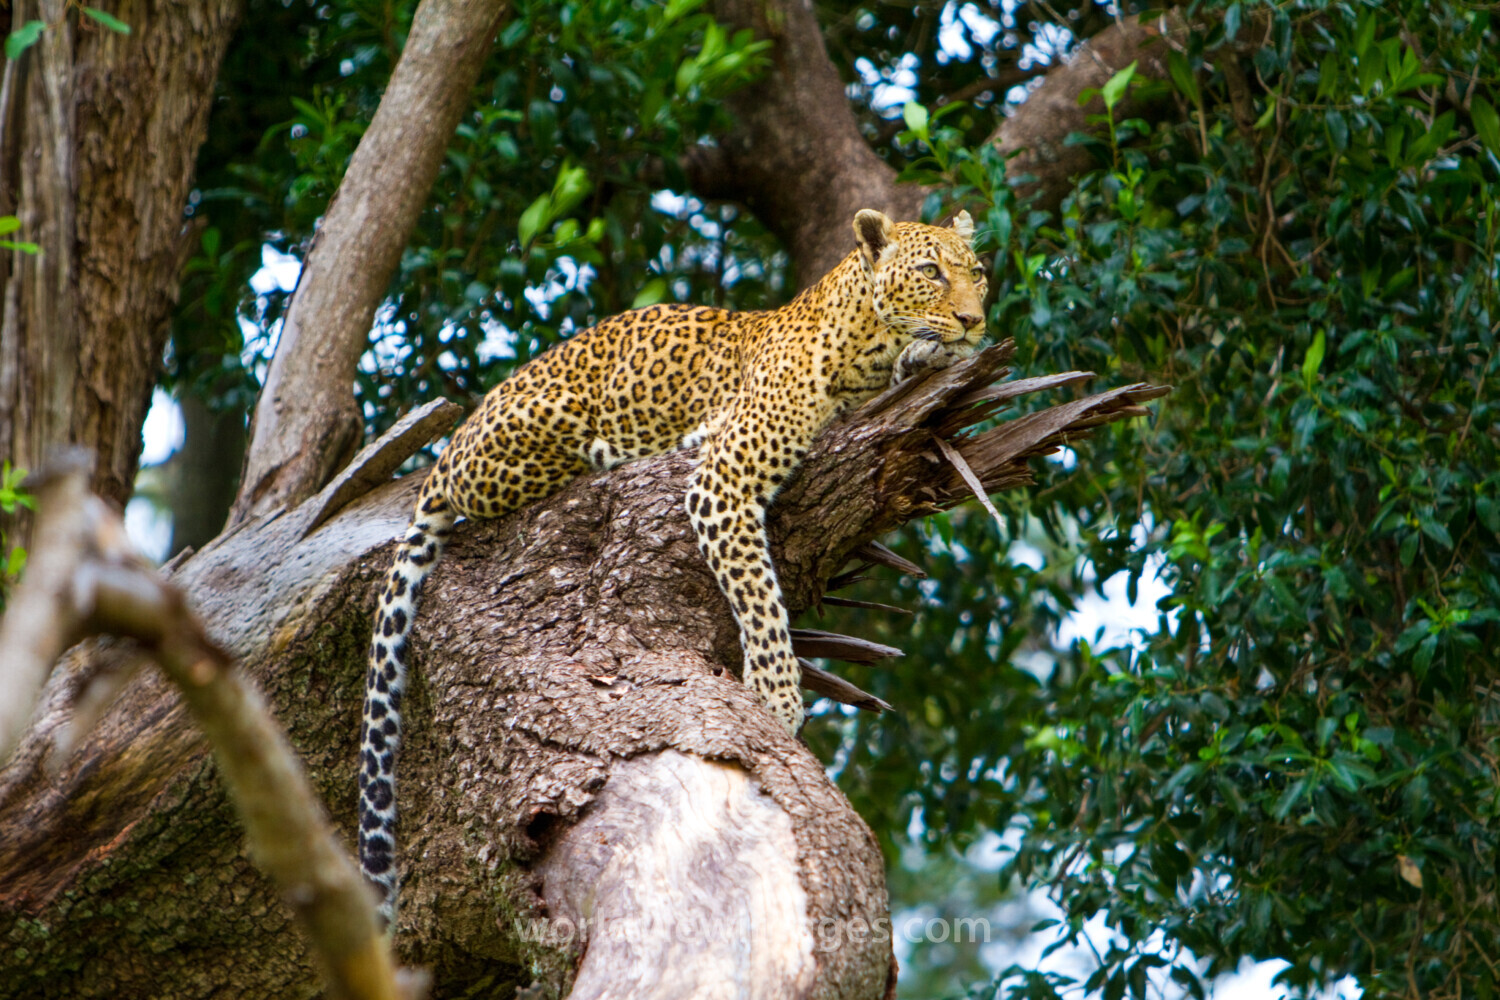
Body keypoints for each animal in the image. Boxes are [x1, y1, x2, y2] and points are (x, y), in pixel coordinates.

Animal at [359, 208, 988, 923]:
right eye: (930, 272)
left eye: (977, 273)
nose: (973, 320)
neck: (867, 344)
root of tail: (447, 449)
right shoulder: (723, 482)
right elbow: (760, 599)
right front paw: (777, 700)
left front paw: (936, 353)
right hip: (539, 427)